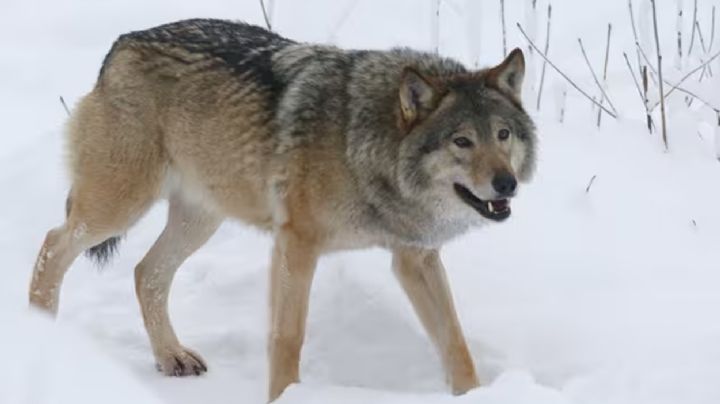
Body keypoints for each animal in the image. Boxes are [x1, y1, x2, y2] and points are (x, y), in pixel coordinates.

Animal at [29, 19, 536, 401]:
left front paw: (476, 395)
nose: (507, 184)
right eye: (462, 141)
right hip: (118, 208)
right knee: (53, 245)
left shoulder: (415, 257)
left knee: (145, 273)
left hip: (200, 219)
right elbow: (287, 338)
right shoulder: (297, 244)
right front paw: (285, 395)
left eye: (503, 135)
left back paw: (171, 356)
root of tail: (120, 44)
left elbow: (455, 341)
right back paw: (40, 334)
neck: (361, 145)